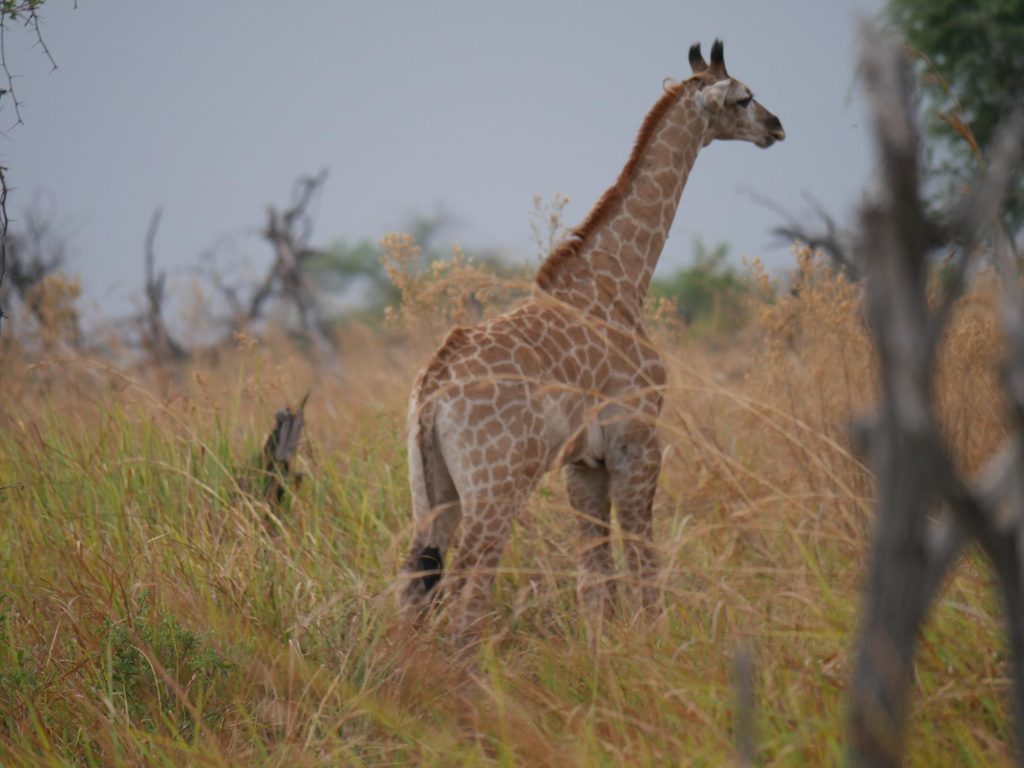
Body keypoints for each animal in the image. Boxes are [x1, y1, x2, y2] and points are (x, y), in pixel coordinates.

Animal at [397, 40, 785, 645]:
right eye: (745, 97)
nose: (776, 126)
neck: (622, 278)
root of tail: (433, 391)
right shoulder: (638, 438)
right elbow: (642, 559)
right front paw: (653, 643)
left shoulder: (581, 462)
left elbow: (594, 579)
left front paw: (606, 652)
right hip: (496, 486)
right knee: (466, 594)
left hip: (432, 489)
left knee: (414, 590)